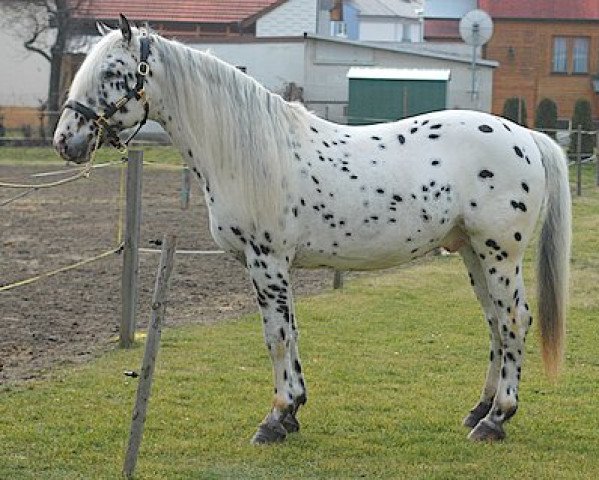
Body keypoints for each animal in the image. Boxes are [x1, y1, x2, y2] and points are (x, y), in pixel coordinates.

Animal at [55, 17, 572, 446]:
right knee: (495, 324)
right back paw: (479, 409)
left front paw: (276, 418)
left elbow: (277, 336)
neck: (252, 152)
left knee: (514, 321)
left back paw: (496, 420)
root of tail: (527, 137)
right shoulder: (273, 267)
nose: (66, 141)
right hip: (471, 254)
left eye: (113, 72)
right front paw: (293, 412)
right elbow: (291, 333)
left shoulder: (267, 262)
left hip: (500, 256)